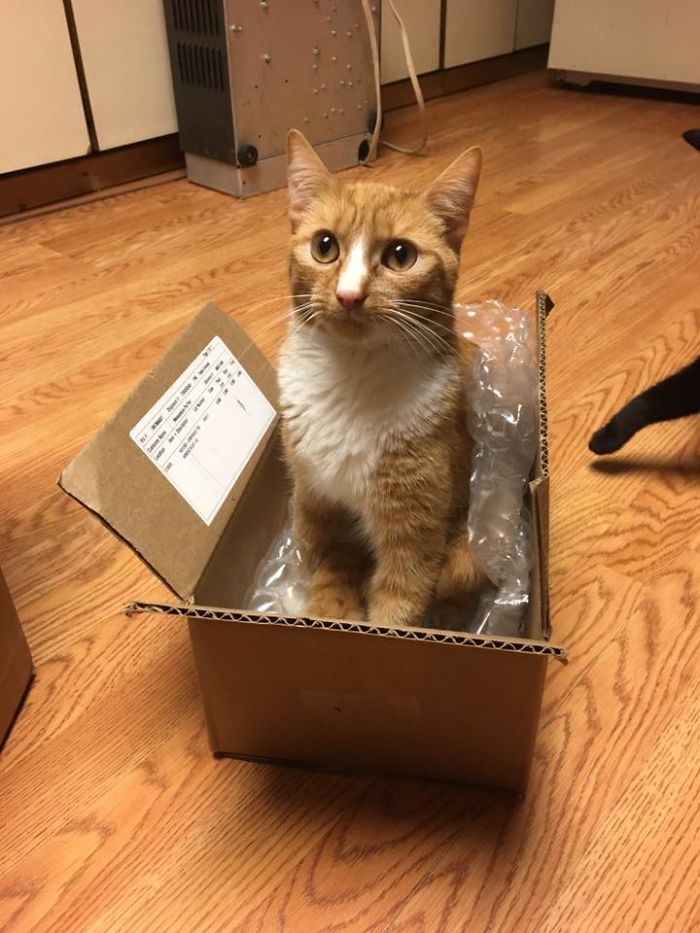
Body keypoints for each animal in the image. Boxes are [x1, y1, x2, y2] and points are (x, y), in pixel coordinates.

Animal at [276, 131, 484, 628]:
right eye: (325, 246)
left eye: (400, 255)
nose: (349, 295)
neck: (350, 377)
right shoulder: (309, 495)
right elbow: (305, 553)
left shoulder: (414, 534)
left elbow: (396, 610)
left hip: (462, 552)